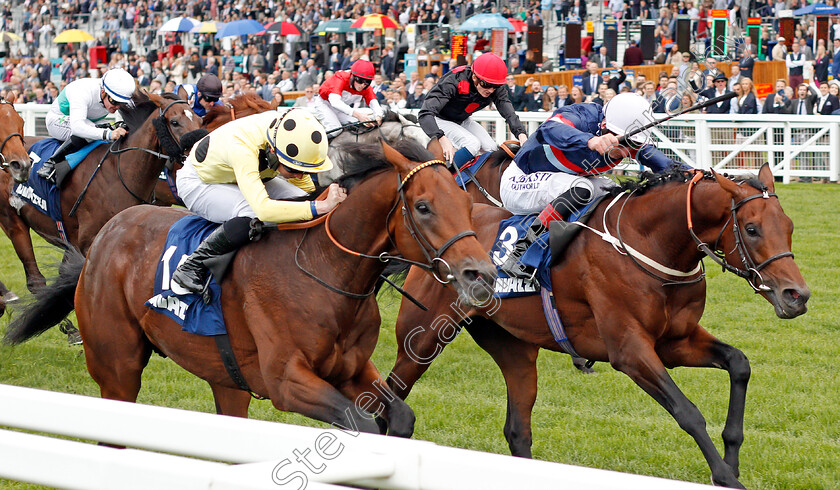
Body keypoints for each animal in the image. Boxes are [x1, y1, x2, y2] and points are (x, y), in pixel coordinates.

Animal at [0, 91, 203, 294]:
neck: (120, 173)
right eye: (175, 122)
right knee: (36, 280)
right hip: (13, 222)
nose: (200, 153)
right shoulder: (90, 243)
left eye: (200, 120)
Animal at [3, 141, 496, 432]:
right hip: (116, 366)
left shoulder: (352, 370)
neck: (327, 269)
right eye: (424, 206)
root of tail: (104, 238)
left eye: (465, 200)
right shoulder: (287, 381)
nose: (481, 274)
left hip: (226, 376)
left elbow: (400, 415)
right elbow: (364, 423)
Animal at [384, 165, 804, 486]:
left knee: (517, 430)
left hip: (513, 347)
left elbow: (739, 364)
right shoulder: (629, 351)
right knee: (389, 396)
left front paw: (732, 457)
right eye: (752, 229)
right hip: (421, 340)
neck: (647, 242)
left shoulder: (676, 342)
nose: (796, 295)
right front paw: (726, 476)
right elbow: (688, 413)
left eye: (789, 225)